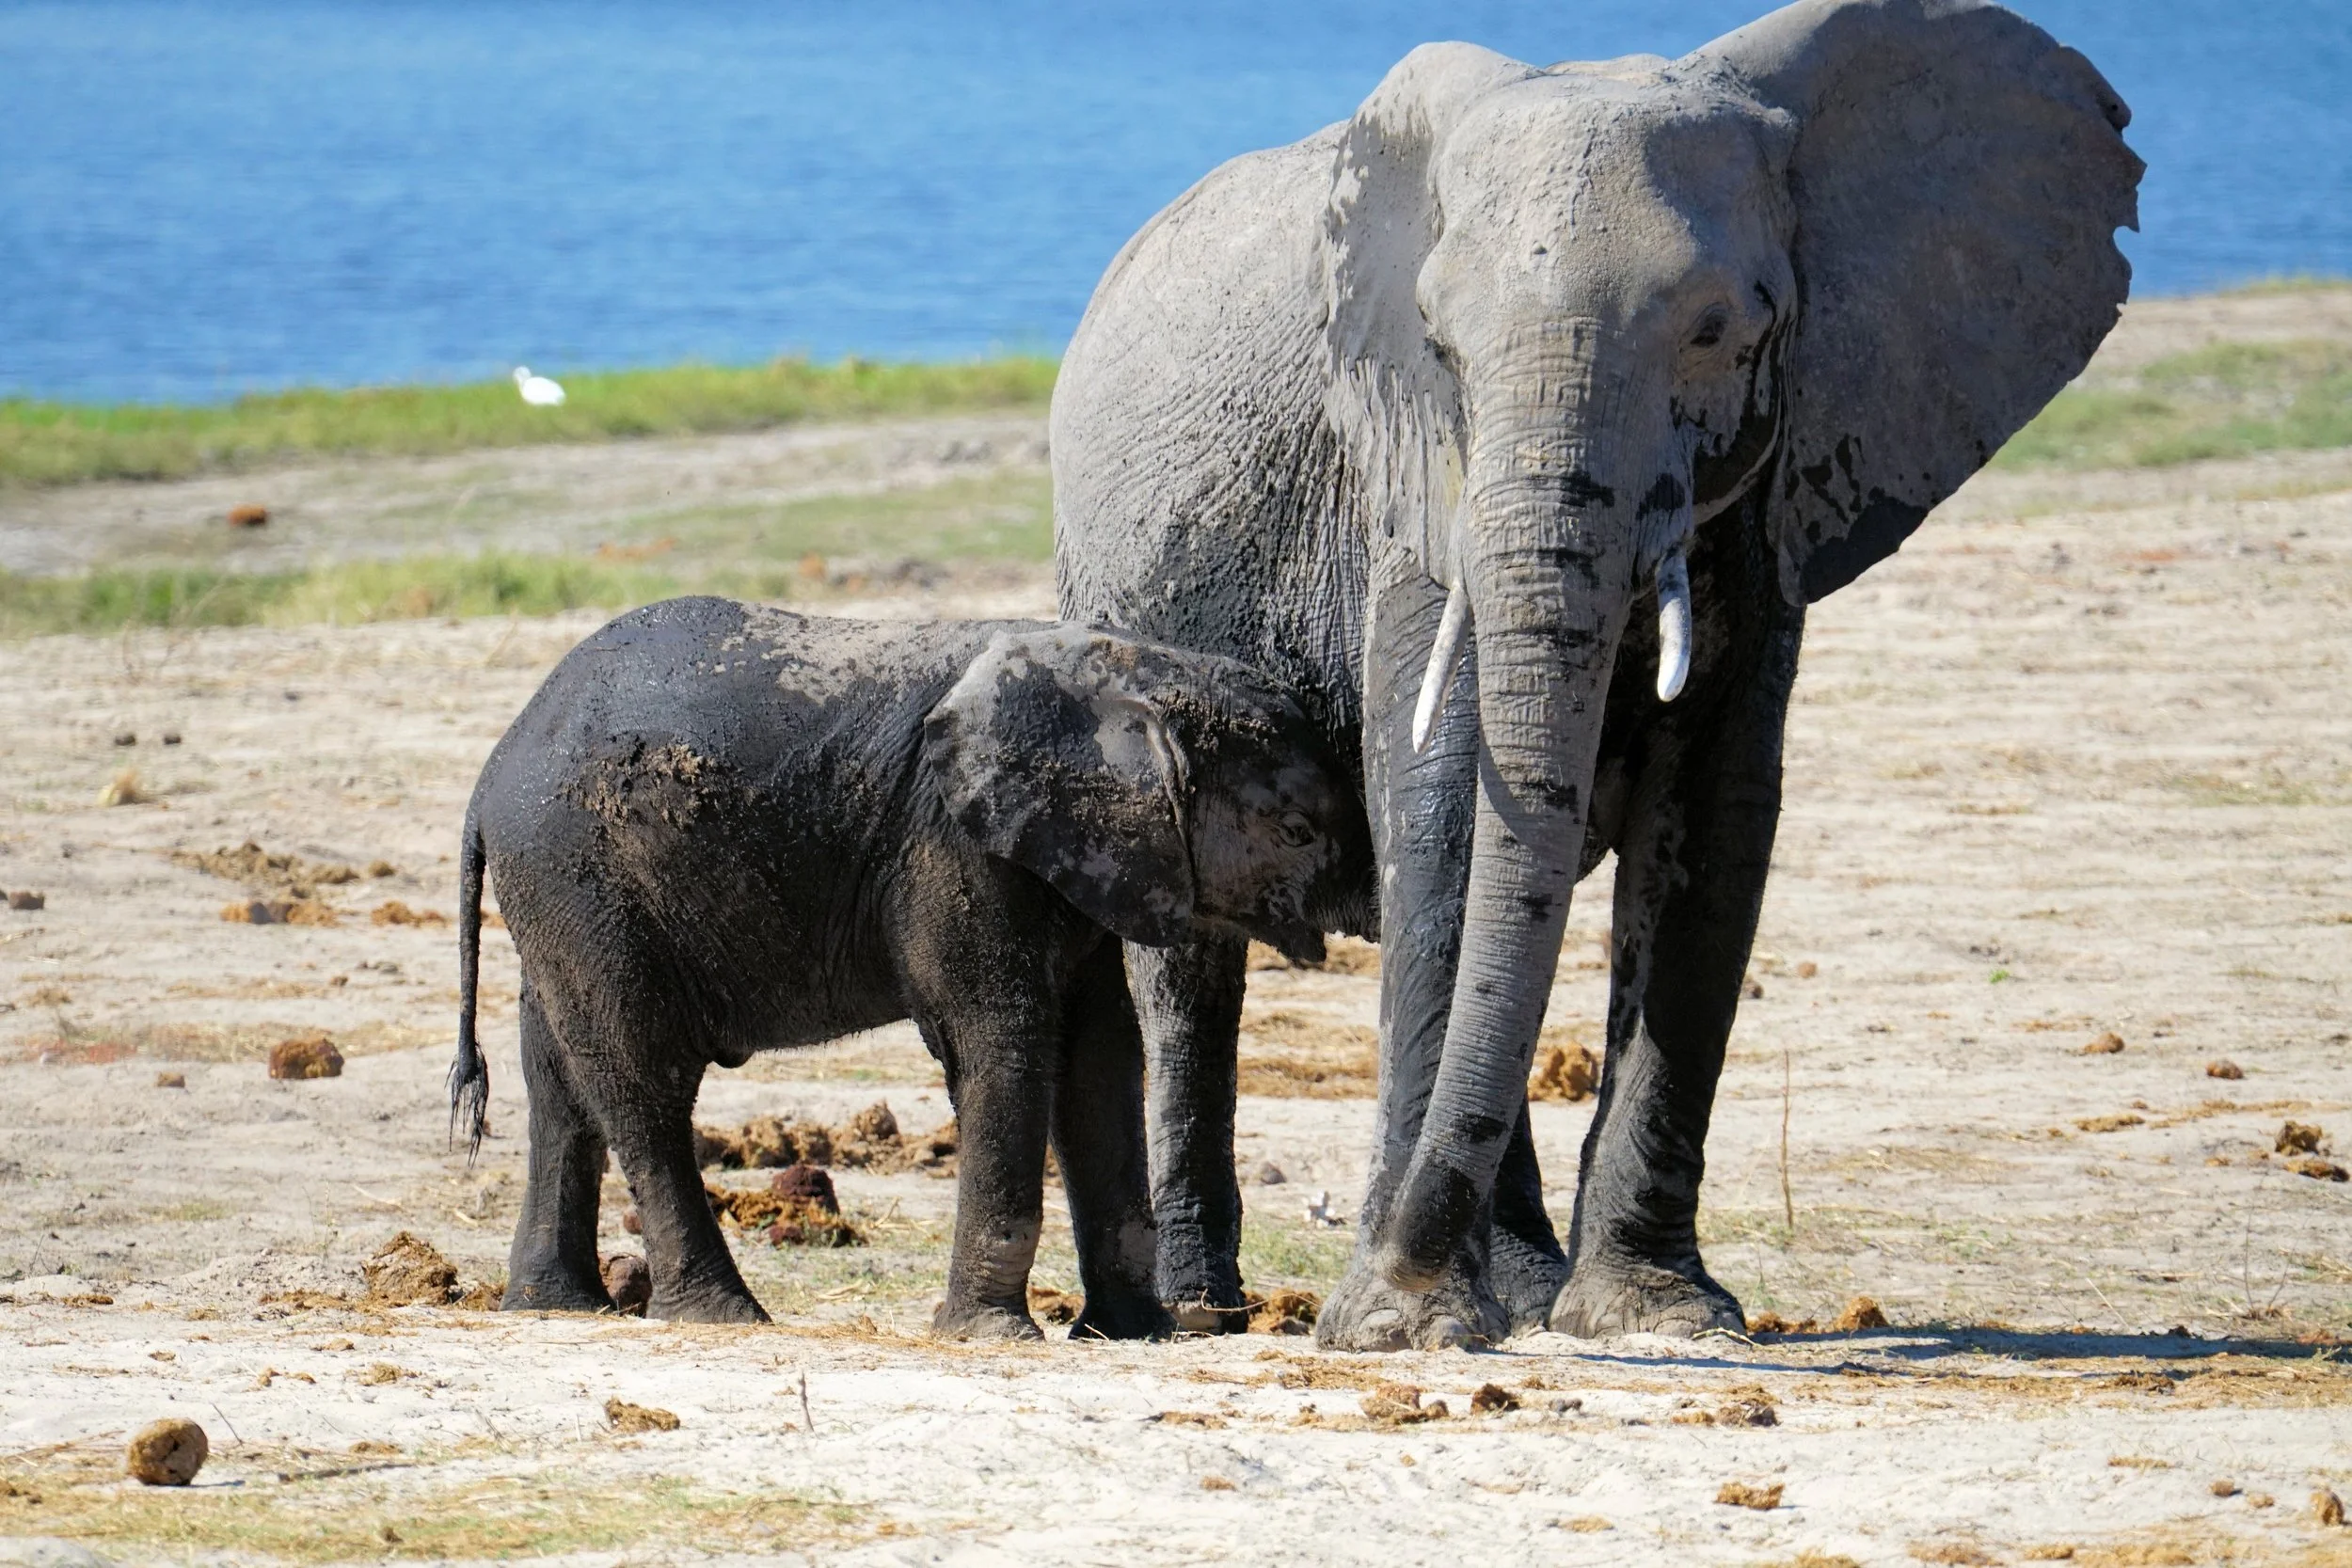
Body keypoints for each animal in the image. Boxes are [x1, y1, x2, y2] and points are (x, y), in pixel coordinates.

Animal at [445, 597, 1369, 1336]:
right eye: (1295, 830)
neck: (1123, 669)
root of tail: (487, 777)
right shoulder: (953, 846)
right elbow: (1002, 1042)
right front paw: (992, 1336)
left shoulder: (1074, 860)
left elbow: (1101, 1057)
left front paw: (1136, 1334)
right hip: (581, 883)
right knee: (643, 1080)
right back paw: (723, 1315)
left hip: (560, 899)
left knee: (559, 1085)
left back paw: (555, 1307)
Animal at [1050, 0, 2140, 1349]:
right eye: (1440, 348)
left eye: (1719, 332)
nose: (1367, 1290)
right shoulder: (1412, 492)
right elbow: (1443, 806)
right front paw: (1403, 1326)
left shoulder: (1769, 505)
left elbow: (1712, 826)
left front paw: (1654, 1312)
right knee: (1193, 962)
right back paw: (1201, 1308)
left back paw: (1514, 1288)